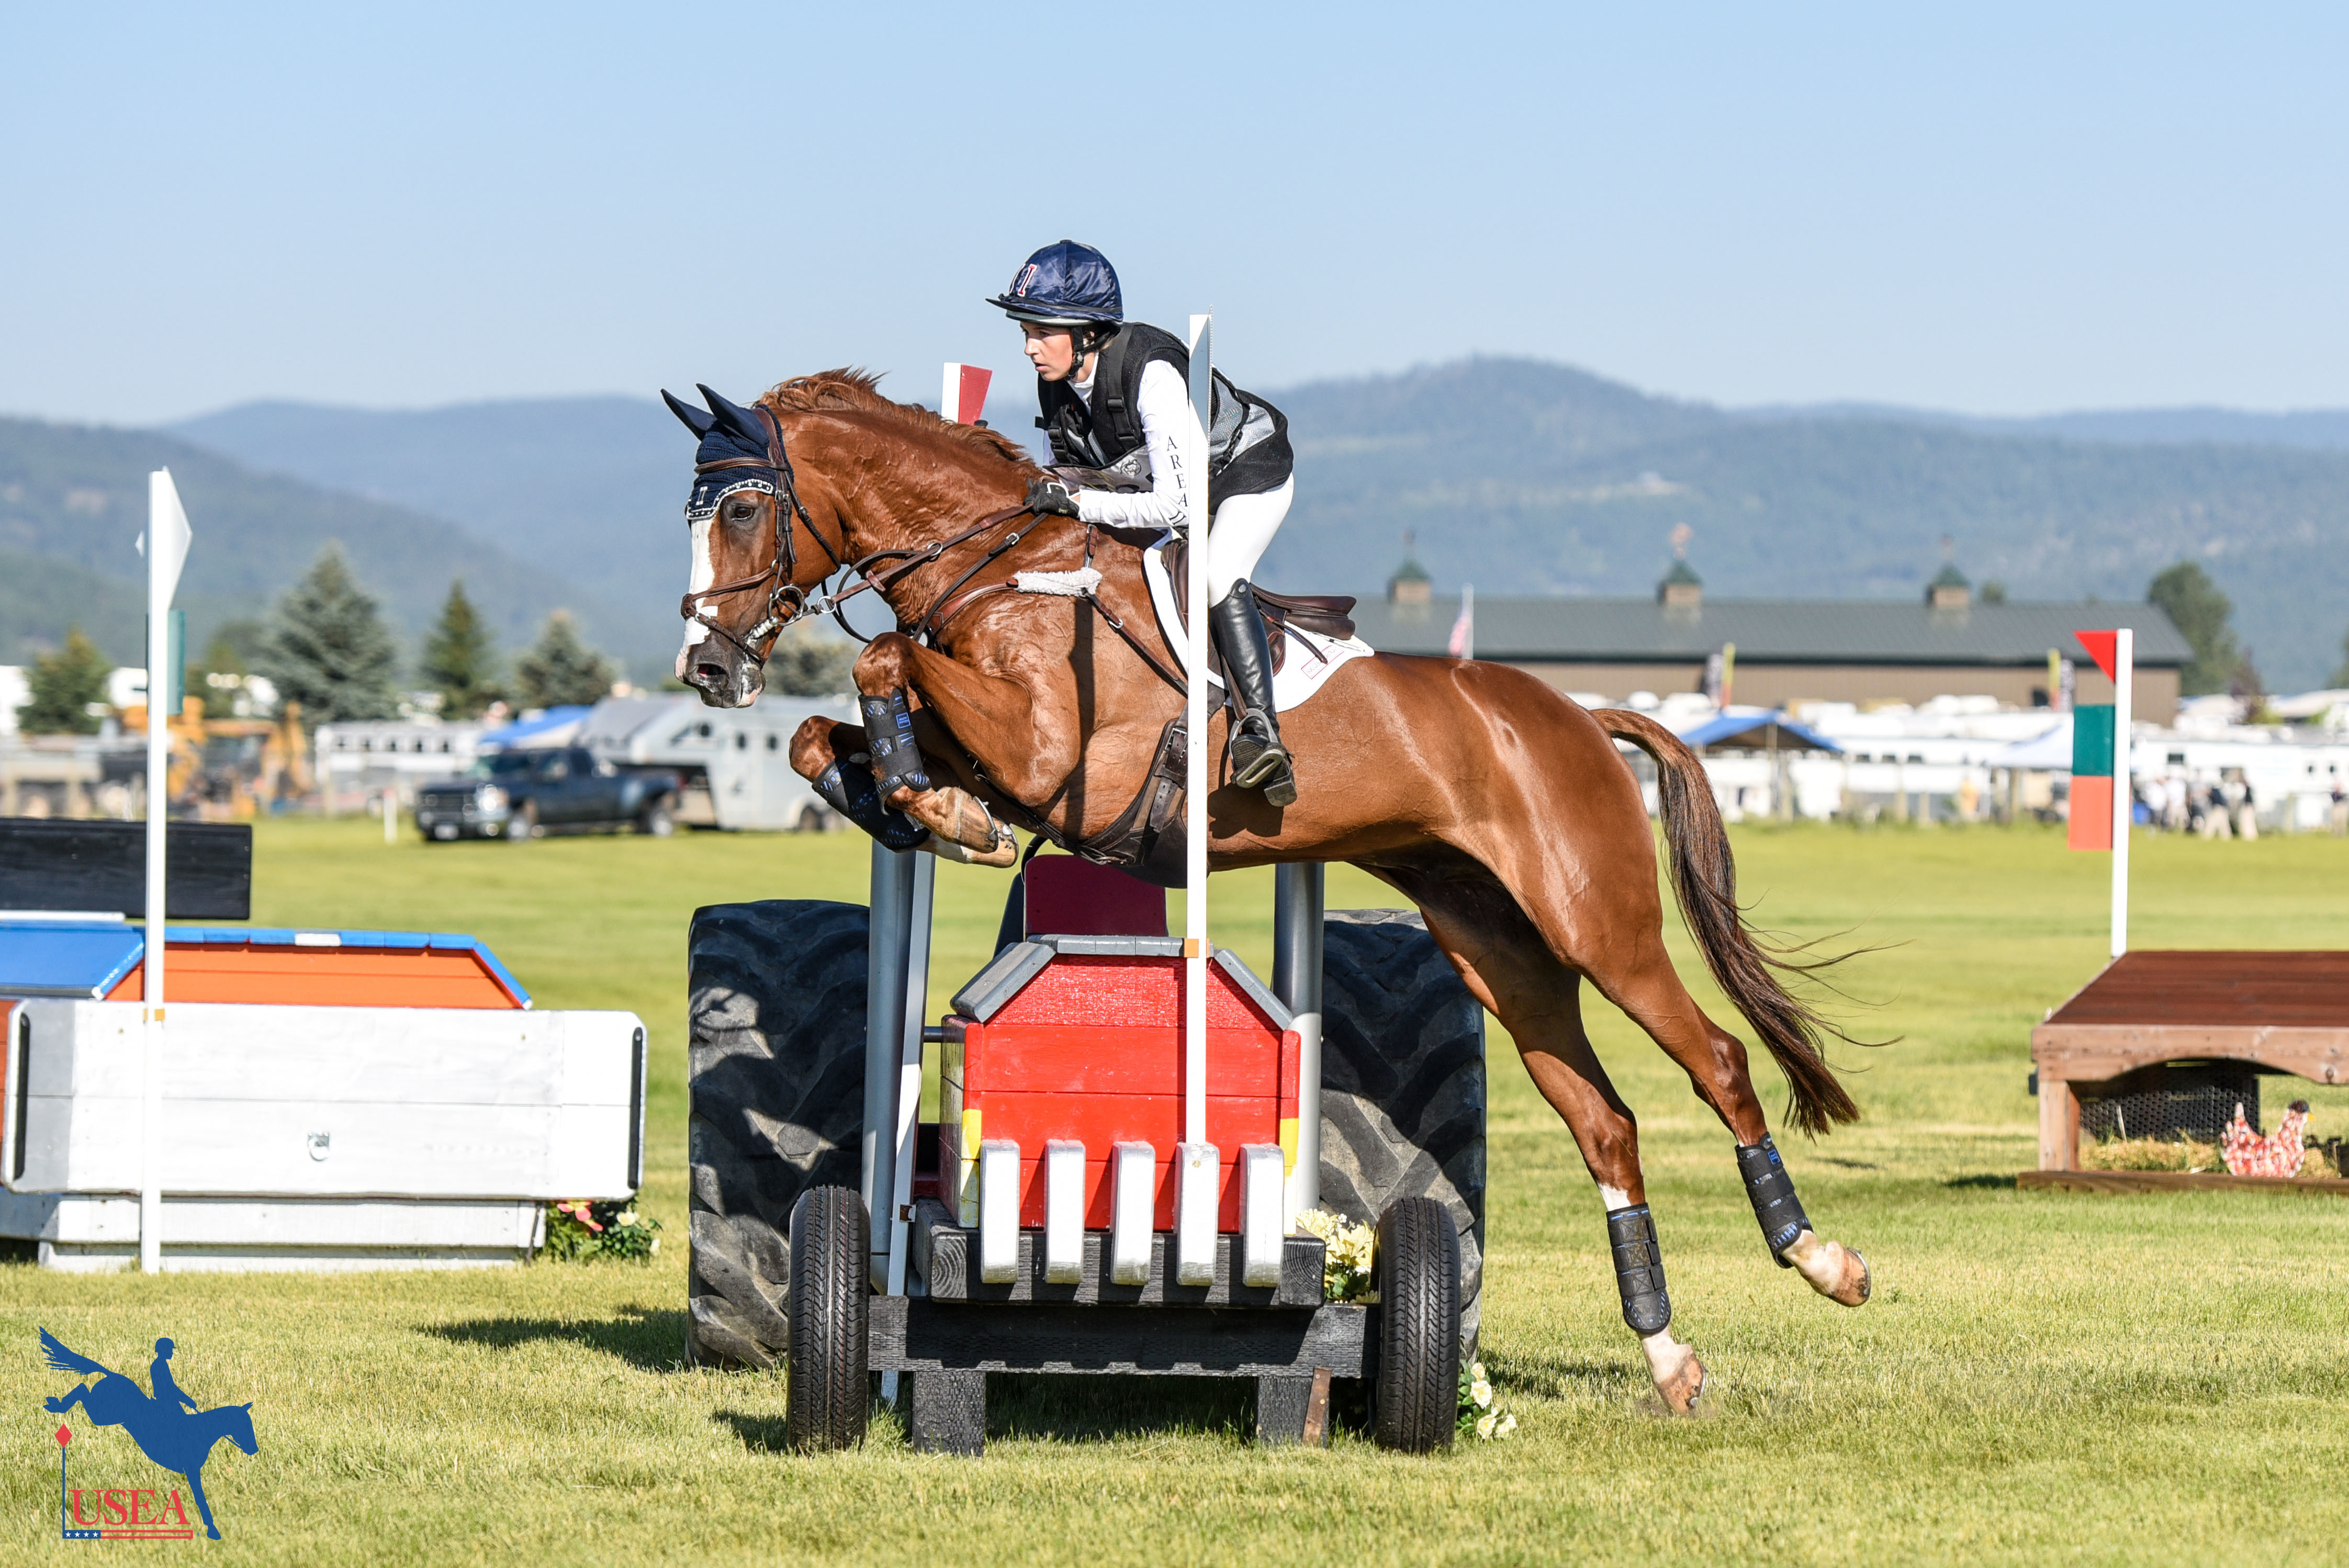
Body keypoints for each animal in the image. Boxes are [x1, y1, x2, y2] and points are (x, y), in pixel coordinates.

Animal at [664, 372, 1873, 1413]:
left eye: (741, 512)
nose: (707, 670)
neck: (1000, 568)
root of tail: (1581, 714)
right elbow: (833, 726)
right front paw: (910, 801)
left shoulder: (1055, 754)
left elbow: (884, 667)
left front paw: (936, 805)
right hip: (1496, 945)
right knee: (1604, 1122)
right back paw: (1668, 1355)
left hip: (1595, 925)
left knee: (1716, 1060)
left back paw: (1822, 1258)